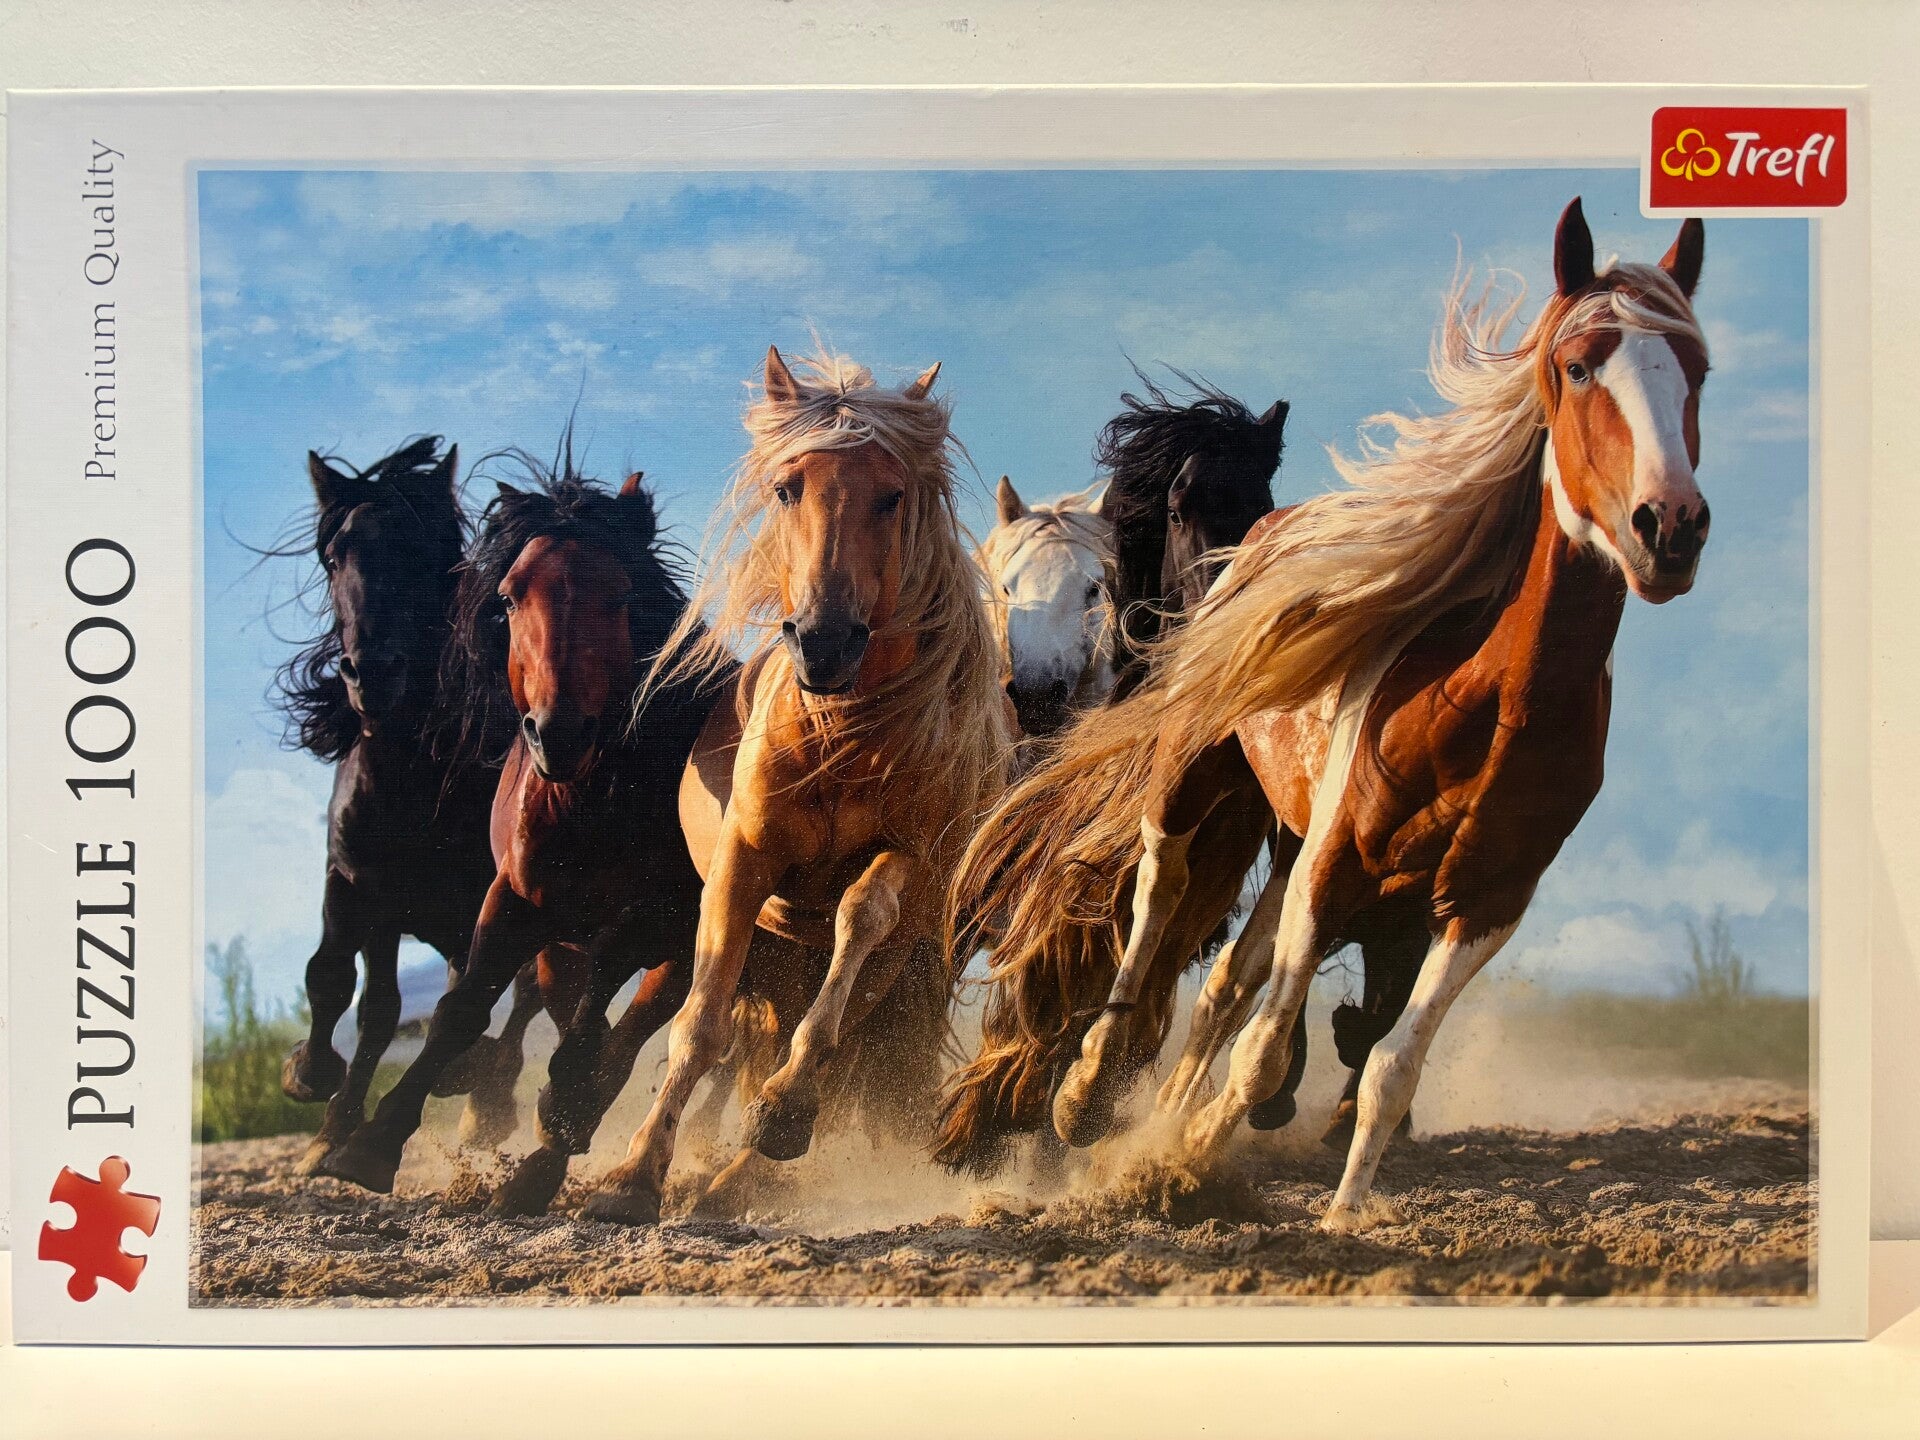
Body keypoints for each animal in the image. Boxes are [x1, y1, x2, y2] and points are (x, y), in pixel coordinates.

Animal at [272, 438, 531, 1175]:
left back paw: (484, 1100)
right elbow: (346, 988)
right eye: (335, 557)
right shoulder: (360, 885)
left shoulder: (487, 899)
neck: (412, 784)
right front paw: (318, 1097)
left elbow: (469, 999)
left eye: (424, 553)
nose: (373, 675)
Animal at [317, 449, 720, 1205]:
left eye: (621, 594)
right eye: (507, 598)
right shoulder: (513, 899)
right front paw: (370, 1145)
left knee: (623, 1037)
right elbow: (461, 1009)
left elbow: (594, 1036)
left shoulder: (652, 920)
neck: (593, 801)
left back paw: (553, 1161)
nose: (556, 733)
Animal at [575, 347, 1011, 1227]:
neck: (840, 738)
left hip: (900, 963)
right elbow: (701, 1026)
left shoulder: (910, 862)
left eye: (892, 495)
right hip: (780, 957)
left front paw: (780, 1111)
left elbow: (859, 920)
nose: (823, 643)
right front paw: (632, 1176)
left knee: (841, 1050)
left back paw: (750, 1162)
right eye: (786, 488)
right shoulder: (744, 865)